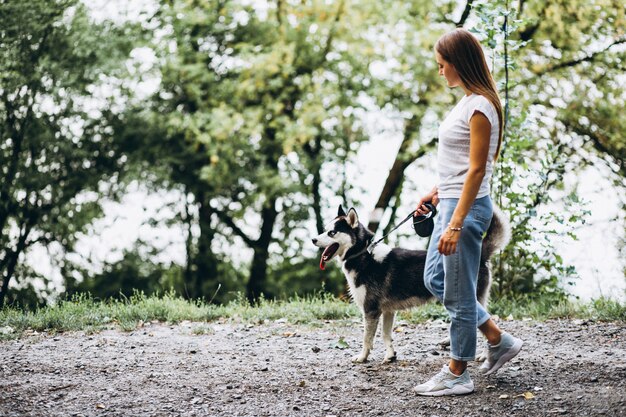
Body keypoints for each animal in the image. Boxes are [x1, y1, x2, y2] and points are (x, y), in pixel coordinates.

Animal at [310, 206, 510, 364]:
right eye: (324, 230)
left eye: (332, 233)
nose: (313, 239)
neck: (363, 254)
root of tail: (480, 255)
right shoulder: (388, 310)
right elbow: (386, 335)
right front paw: (390, 355)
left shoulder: (371, 310)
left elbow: (367, 339)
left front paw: (362, 357)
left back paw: (485, 354)